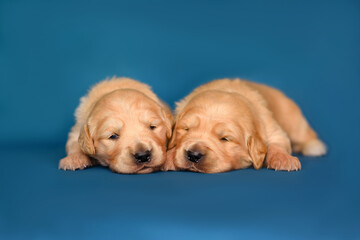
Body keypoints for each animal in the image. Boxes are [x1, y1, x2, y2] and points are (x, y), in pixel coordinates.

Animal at [165, 79, 328, 172]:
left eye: (225, 139)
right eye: (186, 129)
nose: (193, 155)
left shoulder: (271, 127)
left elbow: (277, 142)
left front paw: (284, 159)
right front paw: (169, 157)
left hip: (293, 119)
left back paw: (314, 147)